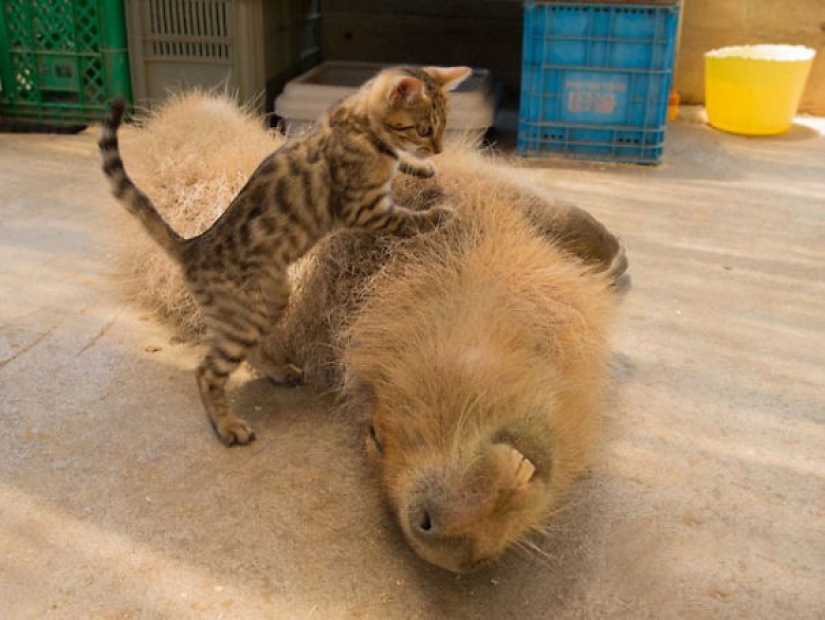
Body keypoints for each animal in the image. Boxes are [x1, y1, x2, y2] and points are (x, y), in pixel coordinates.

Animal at [98, 65, 470, 446]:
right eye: (424, 129)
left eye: (443, 126)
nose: (439, 149)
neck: (356, 123)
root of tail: (193, 246)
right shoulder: (366, 210)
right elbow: (411, 218)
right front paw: (441, 213)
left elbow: (399, 161)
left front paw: (420, 168)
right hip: (243, 317)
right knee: (206, 373)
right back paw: (228, 426)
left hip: (270, 299)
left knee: (249, 351)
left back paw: (278, 371)